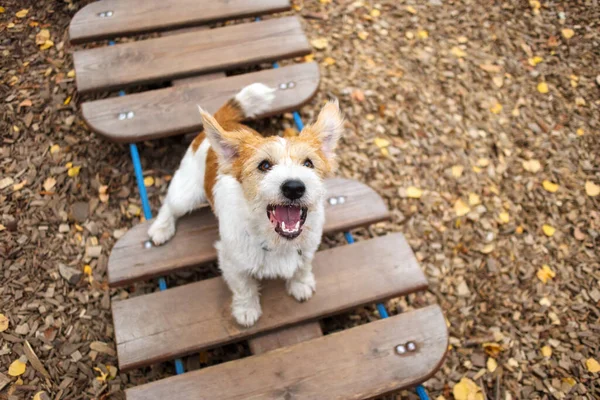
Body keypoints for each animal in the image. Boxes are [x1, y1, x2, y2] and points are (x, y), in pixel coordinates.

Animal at [148, 83, 342, 326]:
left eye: (308, 163)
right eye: (264, 165)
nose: (294, 187)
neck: (276, 241)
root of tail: (224, 123)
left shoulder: (307, 249)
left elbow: (303, 266)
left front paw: (301, 283)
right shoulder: (232, 262)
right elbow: (244, 287)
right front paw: (247, 310)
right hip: (186, 194)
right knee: (169, 204)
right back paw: (161, 228)